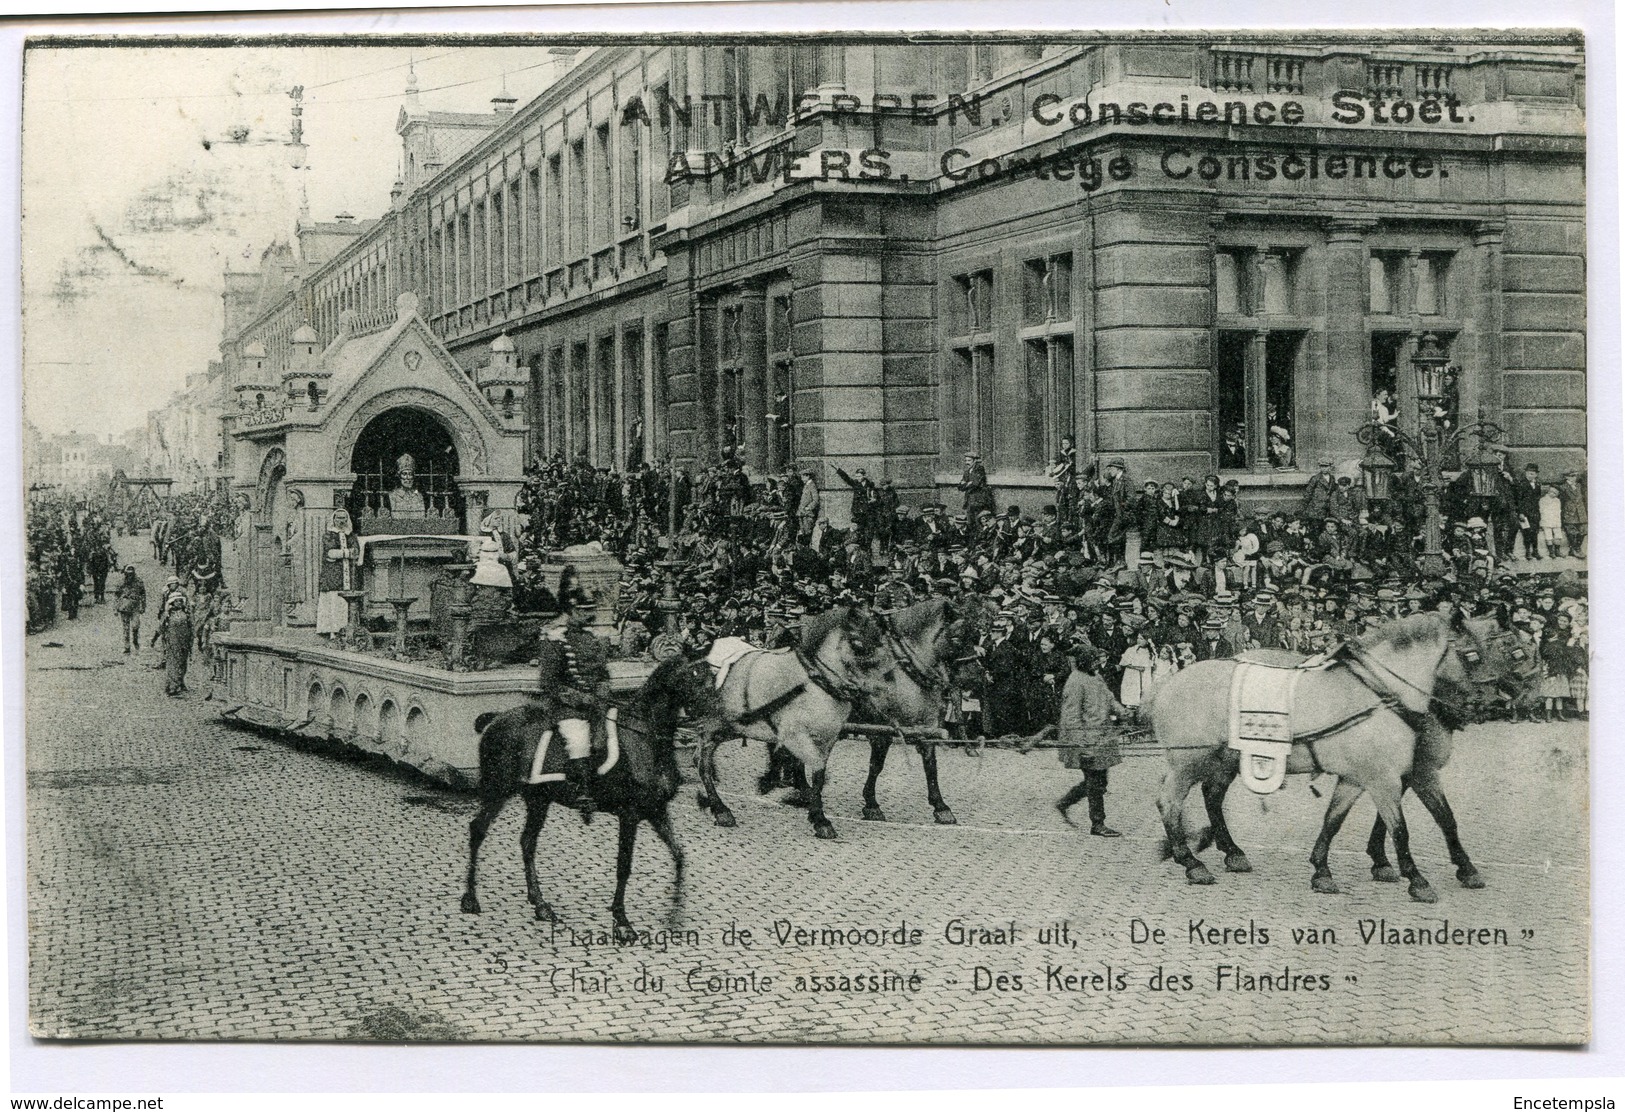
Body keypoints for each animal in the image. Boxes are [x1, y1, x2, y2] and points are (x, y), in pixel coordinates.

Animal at [461, 656, 721, 942]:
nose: (716, 717)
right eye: (694, 677)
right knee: (478, 829)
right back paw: (470, 899)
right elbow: (624, 866)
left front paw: (674, 916)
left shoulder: (656, 810)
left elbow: (679, 855)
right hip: (498, 789)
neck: (645, 737)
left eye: (712, 677)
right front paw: (622, 922)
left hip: (538, 799)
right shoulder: (629, 815)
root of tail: (497, 719)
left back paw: (540, 904)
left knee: (527, 842)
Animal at [695, 604, 897, 838]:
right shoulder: (796, 735)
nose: (884, 688)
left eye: (881, 639)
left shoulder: (827, 738)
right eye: (857, 642)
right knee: (702, 761)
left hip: (733, 729)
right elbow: (802, 764)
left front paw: (818, 817)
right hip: (715, 726)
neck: (814, 684)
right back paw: (721, 809)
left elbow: (819, 774)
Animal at [1150, 611, 1514, 910]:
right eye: (1472, 654)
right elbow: (1400, 830)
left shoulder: (1361, 778)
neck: (1378, 692)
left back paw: (1232, 853)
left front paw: (1322, 870)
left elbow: (1336, 820)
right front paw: (1417, 880)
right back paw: (1191, 863)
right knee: (1169, 802)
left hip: (1226, 759)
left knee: (1212, 796)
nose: (1499, 700)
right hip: (1188, 762)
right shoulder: (1385, 778)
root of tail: (1169, 682)